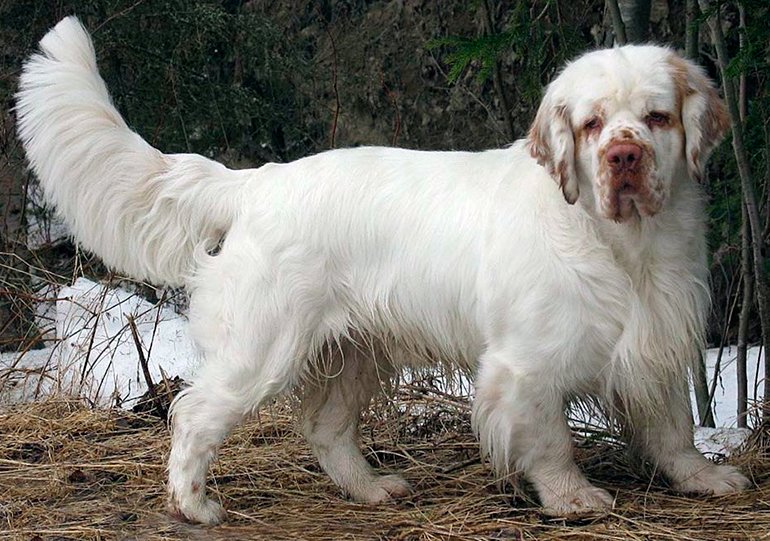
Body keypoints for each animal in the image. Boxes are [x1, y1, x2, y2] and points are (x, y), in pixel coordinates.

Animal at [16, 16, 752, 524]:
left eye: (656, 117)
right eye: (593, 124)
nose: (625, 157)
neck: (622, 243)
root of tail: (255, 182)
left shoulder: (657, 338)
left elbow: (674, 427)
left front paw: (704, 478)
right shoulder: (524, 366)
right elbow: (549, 441)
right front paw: (573, 498)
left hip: (353, 352)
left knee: (326, 431)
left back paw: (372, 489)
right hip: (264, 347)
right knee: (195, 413)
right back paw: (194, 505)